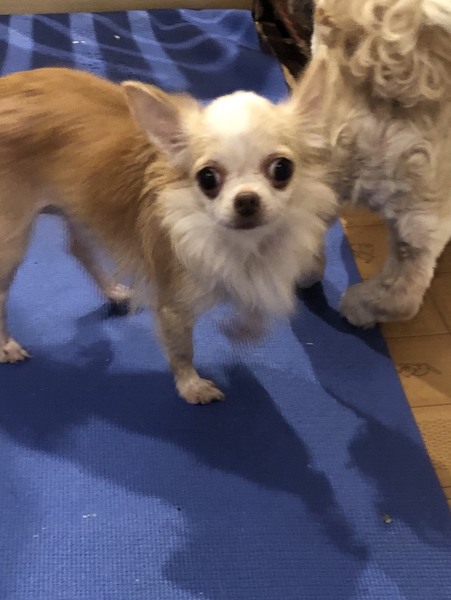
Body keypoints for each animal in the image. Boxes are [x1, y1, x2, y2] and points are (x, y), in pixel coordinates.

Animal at [0, 67, 335, 404]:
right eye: (207, 178)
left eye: (282, 169)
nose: (246, 200)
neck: (240, 244)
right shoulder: (172, 304)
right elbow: (182, 349)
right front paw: (191, 386)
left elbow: (255, 312)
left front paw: (240, 329)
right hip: (12, 239)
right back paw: (6, 345)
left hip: (82, 207)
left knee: (78, 248)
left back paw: (114, 291)